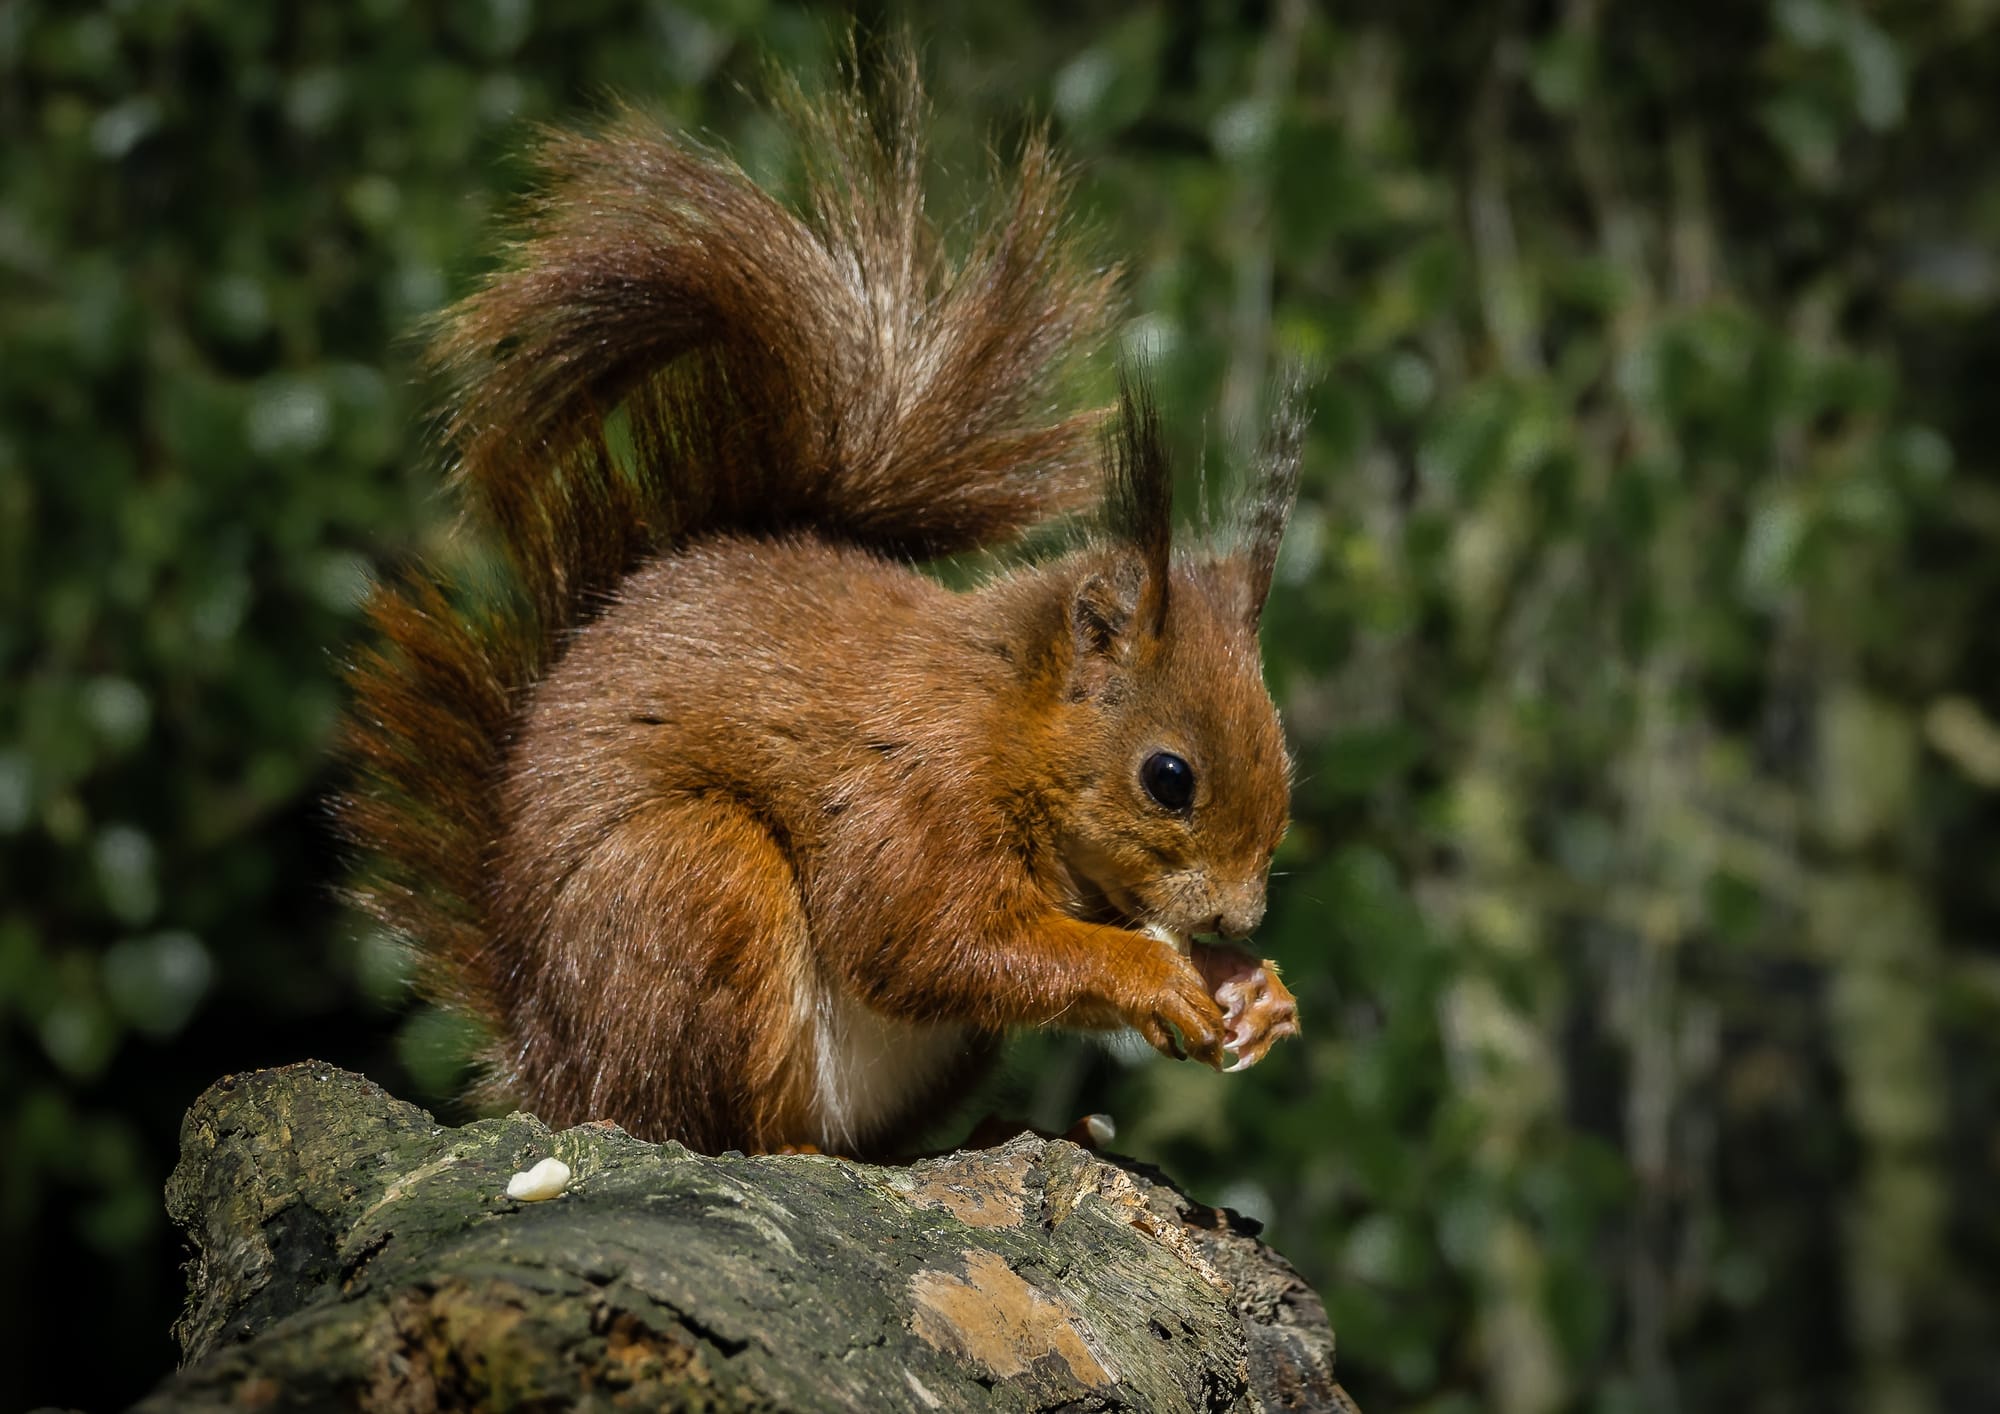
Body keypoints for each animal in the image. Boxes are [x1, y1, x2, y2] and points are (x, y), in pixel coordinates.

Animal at [340, 58, 1312, 1160]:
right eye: (1167, 777)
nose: (1235, 920)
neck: (1006, 715)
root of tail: (548, 1066)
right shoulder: (915, 797)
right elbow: (920, 943)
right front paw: (1153, 973)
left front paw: (1256, 994)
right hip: (690, 883)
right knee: (706, 1117)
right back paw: (792, 1147)